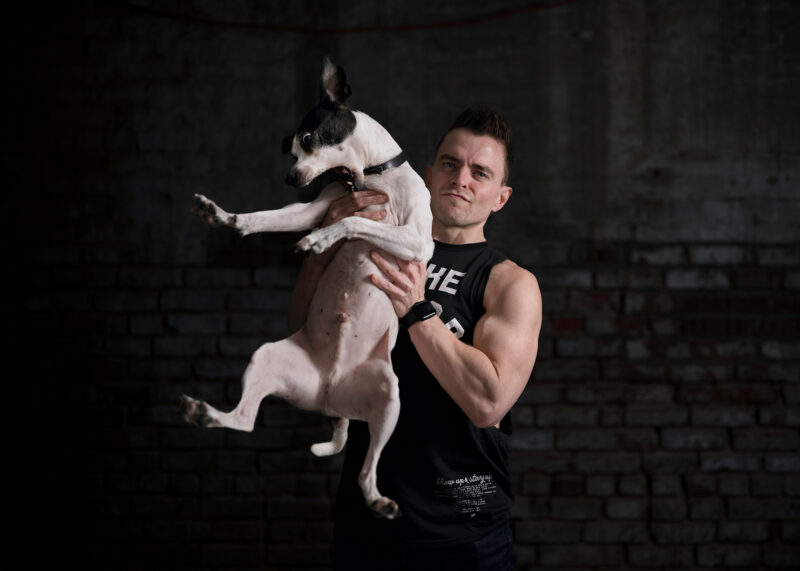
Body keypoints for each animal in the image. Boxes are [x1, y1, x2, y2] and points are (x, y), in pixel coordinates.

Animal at [179, 57, 434, 520]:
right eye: (289, 147)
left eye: (309, 138)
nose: (289, 176)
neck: (368, 179)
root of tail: (331, 400)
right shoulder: (312, 209)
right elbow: (263, 219)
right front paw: (223, 217)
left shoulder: (416, 240)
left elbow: (354, 222)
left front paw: (319, 240)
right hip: (265, 360)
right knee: (244, 420)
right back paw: (203, 413)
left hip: (390, 400)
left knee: (365, 472)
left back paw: (380, 501)